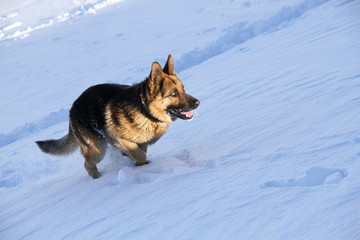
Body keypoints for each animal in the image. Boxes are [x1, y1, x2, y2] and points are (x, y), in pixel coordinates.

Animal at [36, 54, 200, 178]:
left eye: (183, 89)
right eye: (173, 94)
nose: (197, 102)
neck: (145, 111)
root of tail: (72, 109)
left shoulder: (141, 142)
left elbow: (140, 153)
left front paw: (139, 166)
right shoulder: (120, 139)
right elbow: (139, 154)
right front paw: (143, 166)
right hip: (97, 150)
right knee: (88, 164)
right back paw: (98, 179)